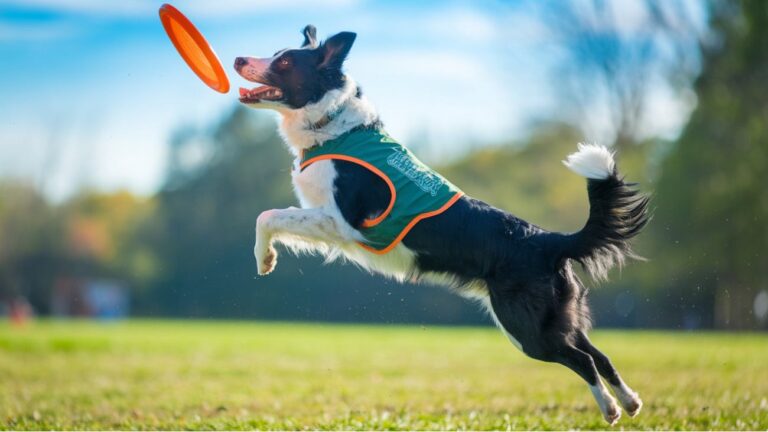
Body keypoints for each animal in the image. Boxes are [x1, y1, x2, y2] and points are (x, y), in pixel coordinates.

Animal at [232, 24, 648, 426]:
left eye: (285, 62)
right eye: (275, 53)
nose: (236, 58)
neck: (333, 123)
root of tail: (549, 239)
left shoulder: (342, 221)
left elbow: (268, 216)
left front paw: (263, 259)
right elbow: (273, 218)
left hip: (528, 328)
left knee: (584, 359)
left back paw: (611, 408)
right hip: (557, 317)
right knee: (598, 353)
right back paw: (630, 402)